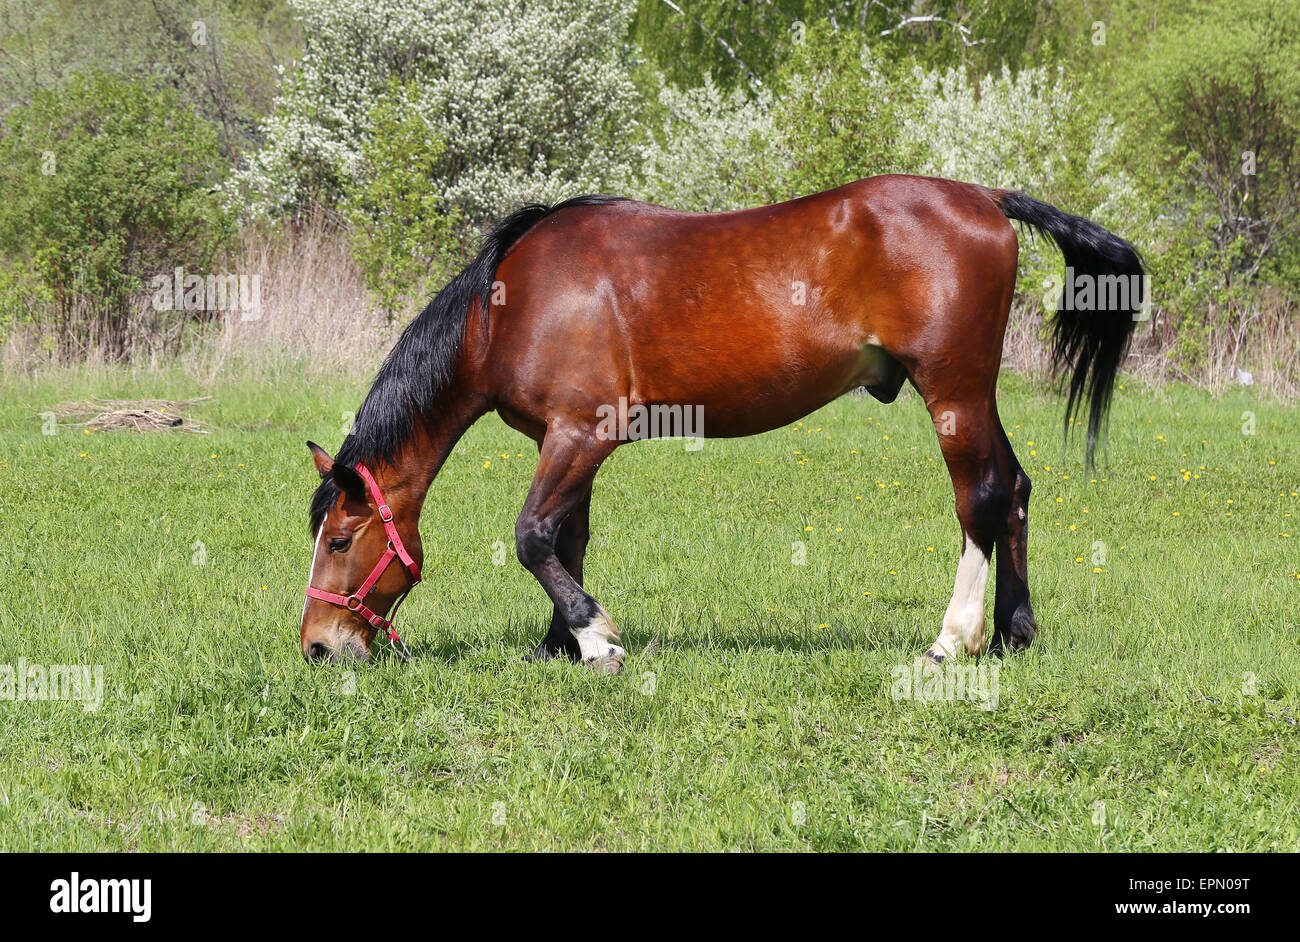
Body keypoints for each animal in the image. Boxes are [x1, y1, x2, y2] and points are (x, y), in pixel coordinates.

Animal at [299, 174, 1144, 670]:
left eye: (339, 541)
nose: (316, 647)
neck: (508, 307)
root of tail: (983, 198)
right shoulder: (568, 442)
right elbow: (568, 539)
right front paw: (558, 642)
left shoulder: (580, 435)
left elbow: (534, 535)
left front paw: (595, 639)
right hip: (974, 400)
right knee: (1016, 490)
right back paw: (1012, 633)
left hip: (953, 397)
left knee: (981, 500)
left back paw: (953, 638)